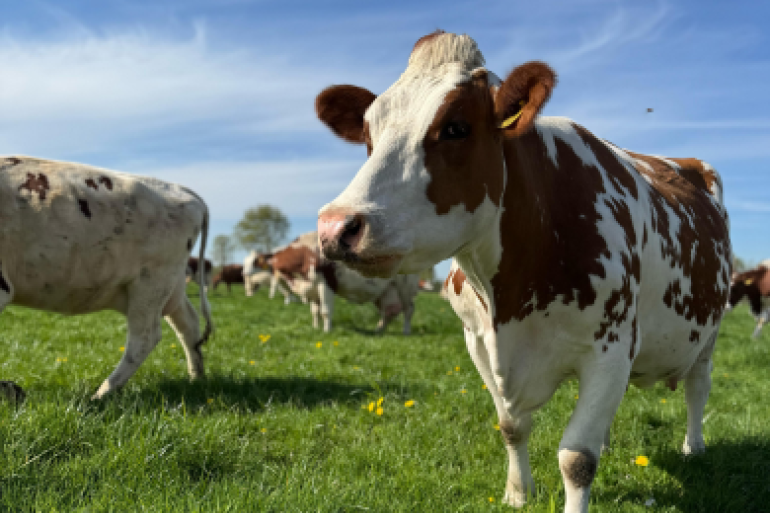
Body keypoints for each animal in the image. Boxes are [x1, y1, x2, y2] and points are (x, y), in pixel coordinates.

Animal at [0, 156, 213, 401]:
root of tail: (184, 190)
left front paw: (9, 389)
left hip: (152, 281)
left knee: (145, 337)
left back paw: (103, 393)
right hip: (171, 284)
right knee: (188, 323)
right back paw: (196, 378)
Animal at [244, 233, 419, 333]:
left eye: (255, 262)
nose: (244, 273)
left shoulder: (326, 283)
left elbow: (325, 311)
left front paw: (326, 331)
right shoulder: (312, 289)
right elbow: (315, 311)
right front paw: (315, 327)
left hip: (405, 286)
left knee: (408, 309)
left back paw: (406, 331)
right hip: (385, 291)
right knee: (389, 311)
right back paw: (379, 330)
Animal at [315, 31, 731, 512]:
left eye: (456, 127)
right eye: (369, 134)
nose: (336, 226)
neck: (511, 300)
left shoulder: (611, 346)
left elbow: (576, 457)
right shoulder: (477, 341)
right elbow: (512, 427)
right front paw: (517, 493)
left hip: (709, 330)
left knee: (698, 384)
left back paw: (693, 446)